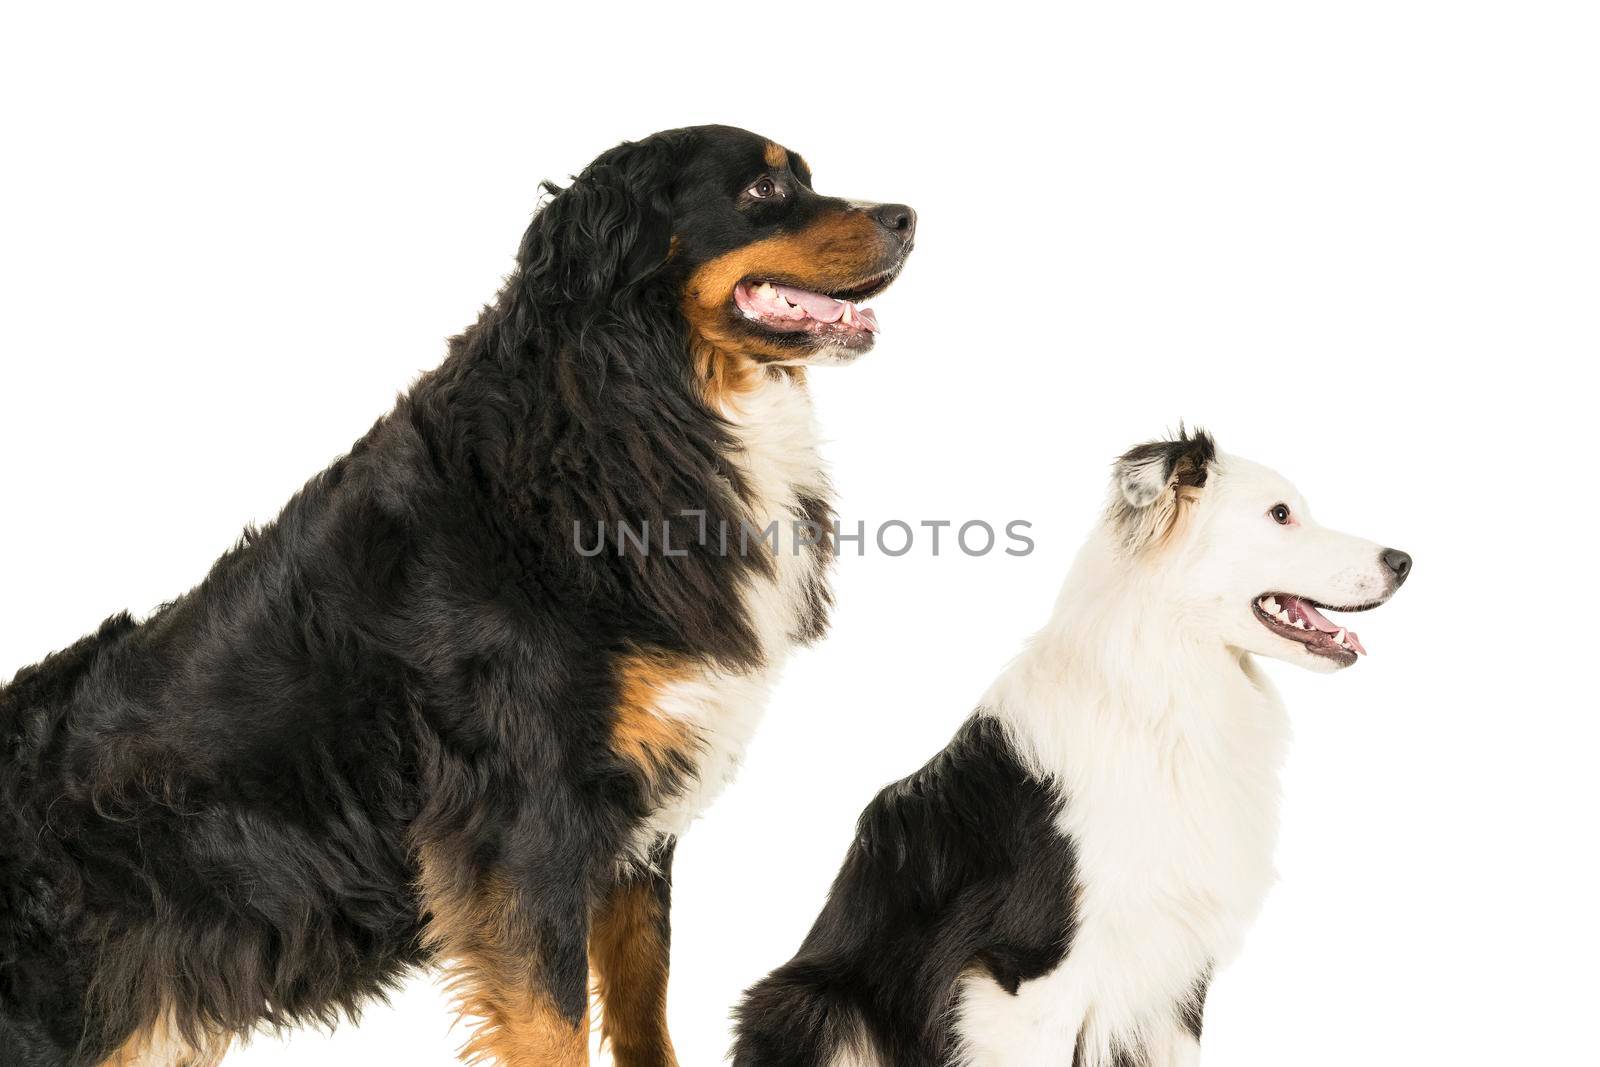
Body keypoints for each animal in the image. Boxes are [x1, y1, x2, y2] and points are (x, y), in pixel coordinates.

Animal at [0, 127, 921, 1067]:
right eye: (764, 189)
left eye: (804, 177)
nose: (906, 216)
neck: (627, 416)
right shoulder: (528, 818)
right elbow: (554, 1019)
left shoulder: (635, 816)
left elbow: (642, 1000)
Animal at [732, 428, 1408, 1067]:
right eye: (1280, 514)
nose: (1403, 559)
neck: (1166, 693)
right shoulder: (1026, 976)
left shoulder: (1178, 976)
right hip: (814, 1003)